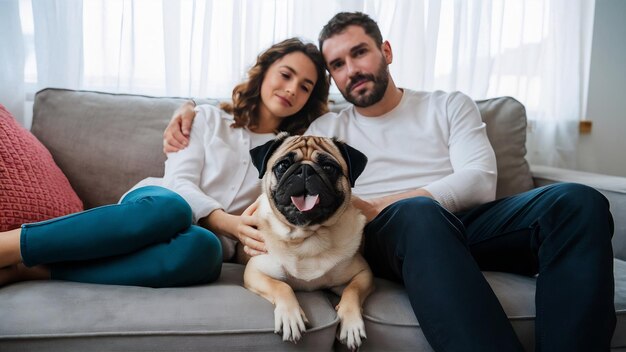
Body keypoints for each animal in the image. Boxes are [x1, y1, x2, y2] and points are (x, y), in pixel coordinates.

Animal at [243, 133, 372, 350]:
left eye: (329, 167)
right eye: (283, 165)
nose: (305, 170)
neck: (307, 236)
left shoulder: (364, 274)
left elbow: (352, 291)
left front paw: (351, 324)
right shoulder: (255, 272)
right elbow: (282, 286)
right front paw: (290, 317)